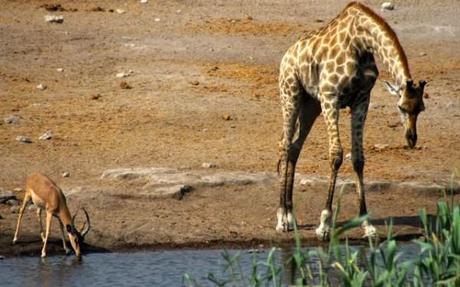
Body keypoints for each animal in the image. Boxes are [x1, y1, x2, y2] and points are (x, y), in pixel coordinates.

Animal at [274, 2, 426, 241]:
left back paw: (291, 215)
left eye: (420, 109)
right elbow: (336, 154)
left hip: (311, 104)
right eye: (401, 107)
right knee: (285, 144)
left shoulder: (362, 99)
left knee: (295, 147)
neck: (361, 42)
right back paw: (281, 219)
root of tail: (287, 55)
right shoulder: (330, 96)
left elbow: (358, 158)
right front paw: (324, 224)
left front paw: (367, 225)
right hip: (291, 93)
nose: (411, 138)